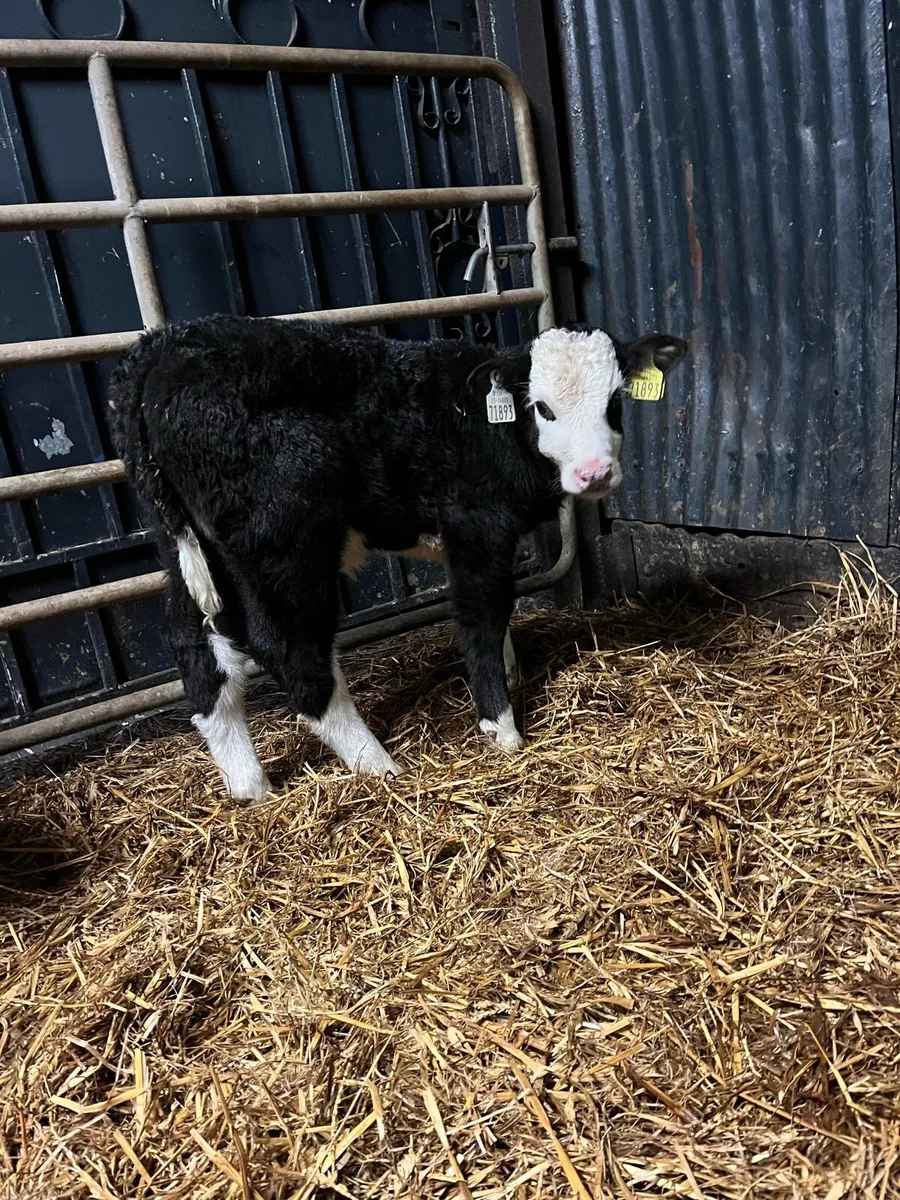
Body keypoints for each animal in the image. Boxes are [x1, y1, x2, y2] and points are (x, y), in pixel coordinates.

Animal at [108, 316, 687, 800]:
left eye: (614, 403)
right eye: (543, 407)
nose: (595, 474)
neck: (480, 424)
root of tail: (161, 348)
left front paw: (511, 672)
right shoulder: (477, 527)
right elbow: (483, 614)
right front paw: (501, 727)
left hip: (186, 548)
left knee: (195, 644)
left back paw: (251, 787)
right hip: (284, 541)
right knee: (290, 648)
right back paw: (376, 764)